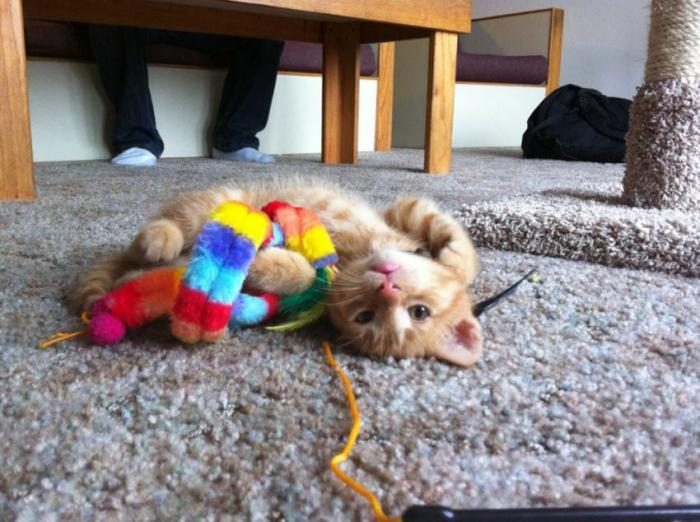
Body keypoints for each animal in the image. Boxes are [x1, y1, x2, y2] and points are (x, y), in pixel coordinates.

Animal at [72, 179, 482, 366]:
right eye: (420, 311)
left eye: (365, 317)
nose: (387, 286)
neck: (357, 257)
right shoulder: (401, 212)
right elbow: (439, 224)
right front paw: (455, 258)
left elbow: (305, 277)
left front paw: (266, 263)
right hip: (220, 199)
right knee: (168, 225)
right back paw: (159, 237)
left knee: (148, 270)